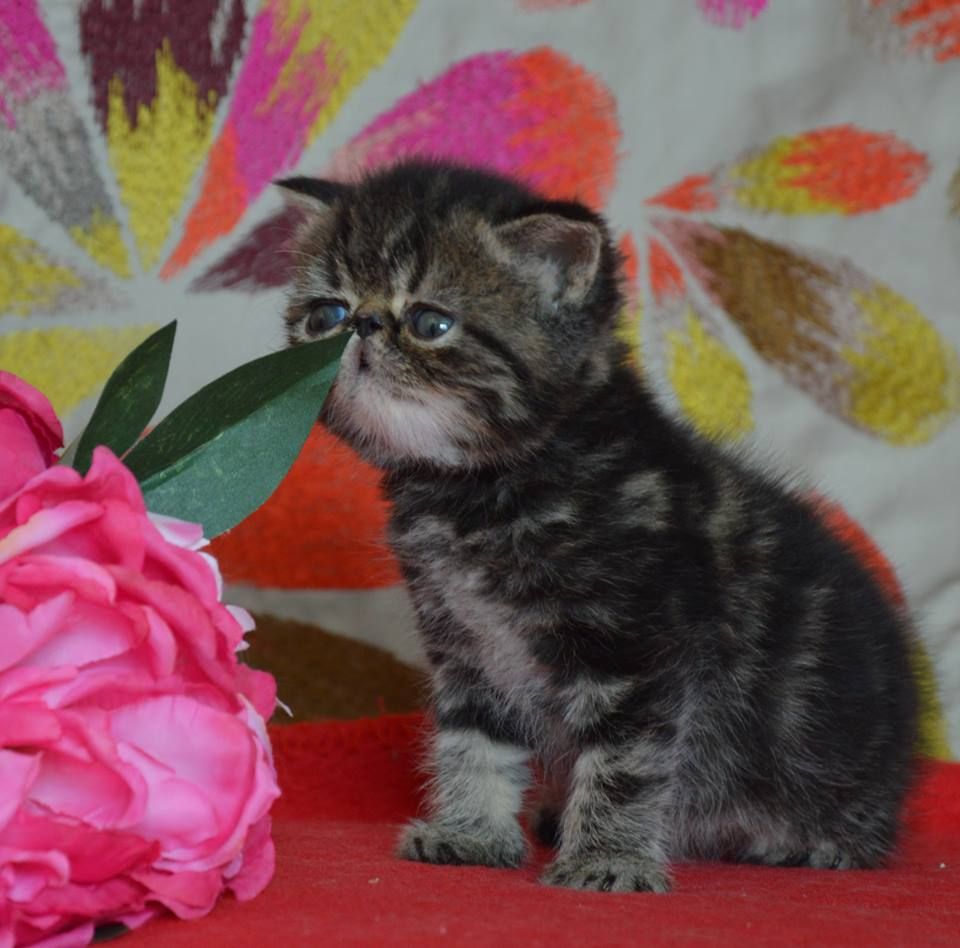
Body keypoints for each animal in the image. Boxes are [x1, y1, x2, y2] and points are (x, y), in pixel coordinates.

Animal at [276, 159, 916, 892]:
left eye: (431, 322)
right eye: (325, 314)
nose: (360, 326)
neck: (483, 491)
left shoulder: (636, 647)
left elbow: (626, 762)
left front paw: (608, 858)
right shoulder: (468, 647)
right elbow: (474, 741)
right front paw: (471, 832)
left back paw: (815, 842)